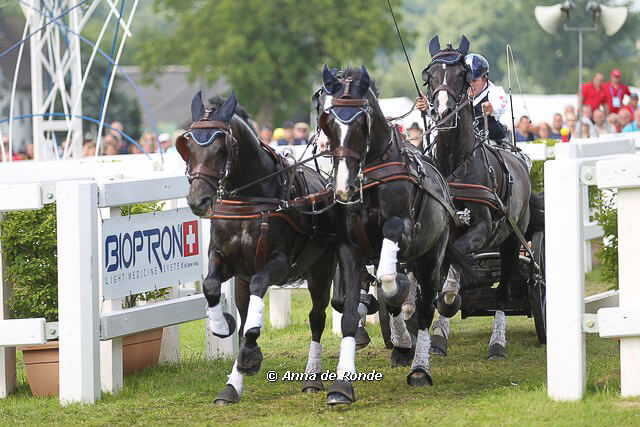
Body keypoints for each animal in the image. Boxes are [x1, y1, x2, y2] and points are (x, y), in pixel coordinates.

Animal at [177, 90, 338, 404]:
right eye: (188, 144)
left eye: (221, 147)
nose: (197, 201)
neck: (250, 200)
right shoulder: (225, 260)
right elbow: (211, 287)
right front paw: (221, 326)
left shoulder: (278, 262)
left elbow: (260, 287)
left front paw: (250, 353)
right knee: (244, 308)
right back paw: (232, 385)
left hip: (321, 270)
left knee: (317, 317)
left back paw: (312, 377)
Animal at [314, 65, 475, 405]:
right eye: (326, 119)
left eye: (361, 121)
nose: (344, 188)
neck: (369, 176)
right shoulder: (350, 247)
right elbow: (349, 314)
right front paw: (341, 386)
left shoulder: (402, 230)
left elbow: (391, 282)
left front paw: (394, 295)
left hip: (430, 258)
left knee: (426, 307)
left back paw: (419, 368)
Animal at [421, 35, 543, 359]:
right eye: (430, 75)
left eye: (461, 75)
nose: (442, 112)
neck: (454, 165)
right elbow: (446, 265)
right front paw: (437, 331)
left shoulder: (482, 227)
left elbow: (457, 259)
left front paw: (449, 300)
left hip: (512, 239)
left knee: (504, 292)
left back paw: (497, 343)